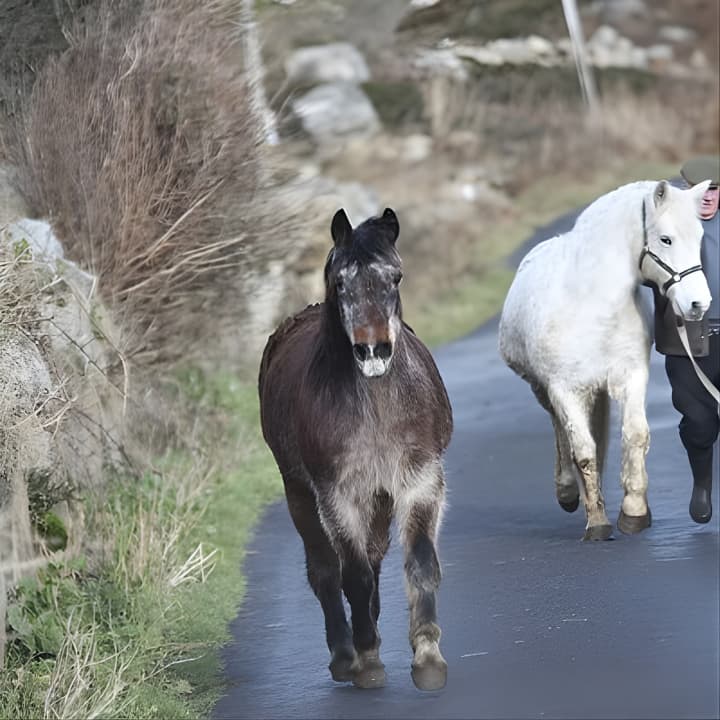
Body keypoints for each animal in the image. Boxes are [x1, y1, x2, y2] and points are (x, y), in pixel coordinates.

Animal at [258, 207, 453, 690]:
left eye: (396, 277)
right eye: (341, 282)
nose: (373, 351)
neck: (376, 404)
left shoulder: (420, 482)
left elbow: (420, 562)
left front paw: (427, 657)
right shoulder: (338, 496)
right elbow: (354, 576)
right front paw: (368, 661)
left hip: (379, 499)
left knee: (375, 556)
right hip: (300, 495)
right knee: (327, 572)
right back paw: (346, 656)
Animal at [498, 179, 711, 540]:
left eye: (698, 237)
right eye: (666, 239)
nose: (699, 303)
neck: (591, 303)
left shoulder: (632, 375)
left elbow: (635, 436)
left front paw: (634, 511)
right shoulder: (563, 389)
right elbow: (583, 451)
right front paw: (597, 523)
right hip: (545, 390)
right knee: (562, 432)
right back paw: (569, 492)